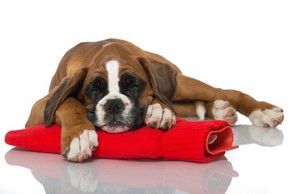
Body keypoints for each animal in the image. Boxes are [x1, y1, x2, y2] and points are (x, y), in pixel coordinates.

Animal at [24, 38, 284, 162]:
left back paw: (262, 111)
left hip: (181, 82)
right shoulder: (38, 109)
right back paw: (221, 110)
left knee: (223, 91)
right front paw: (80, 136)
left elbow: (159, 97)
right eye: (94, 89)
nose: (114, 104)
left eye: (134, 85)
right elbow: (68, 102)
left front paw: (159, 111)